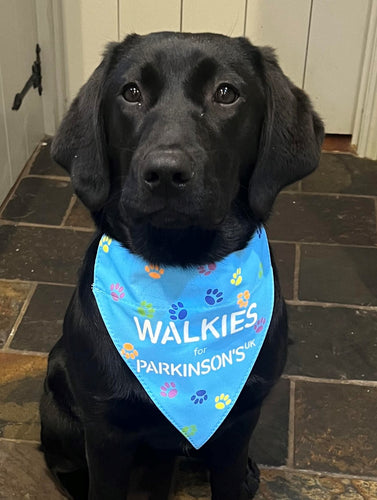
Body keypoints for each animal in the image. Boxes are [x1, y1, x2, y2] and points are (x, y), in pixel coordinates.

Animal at [40, 32, 324, 500]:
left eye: (226, 93)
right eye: (131, 92)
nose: (166, 172)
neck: (181, 272)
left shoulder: (240, 419)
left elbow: (228, 479)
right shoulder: (105, 431)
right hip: (59, 387)